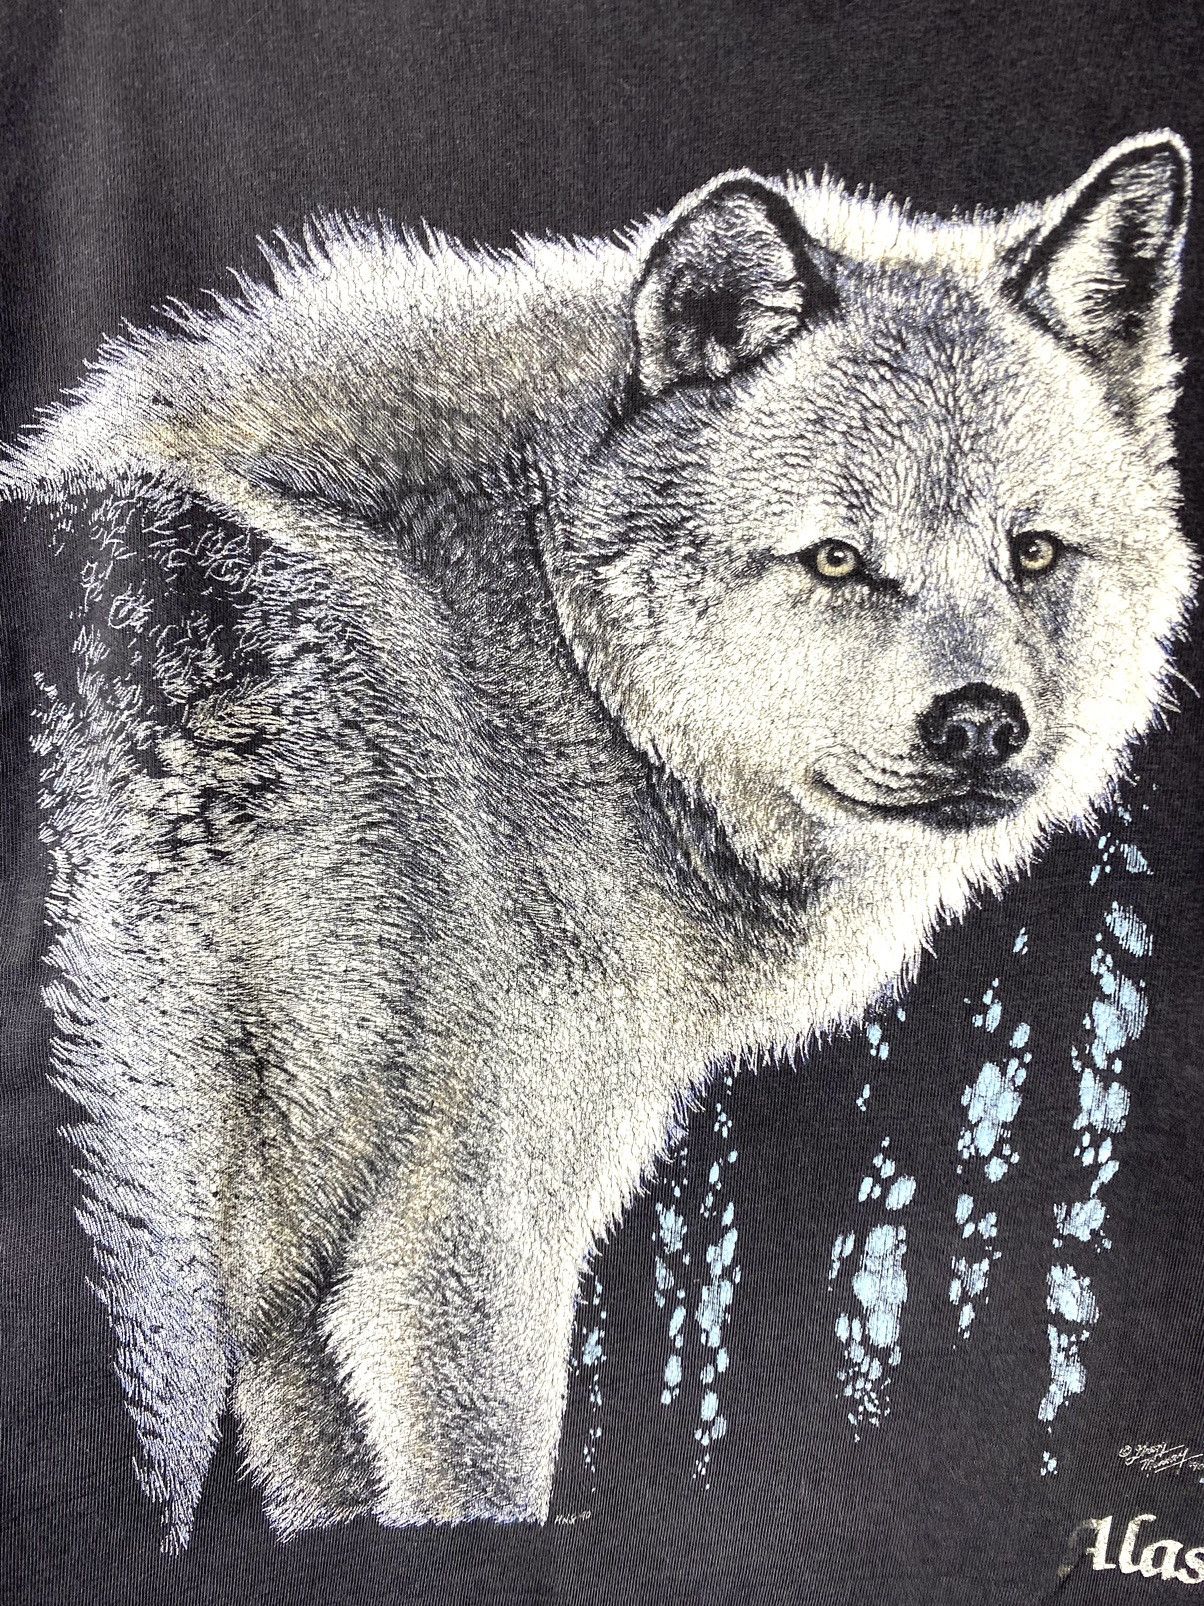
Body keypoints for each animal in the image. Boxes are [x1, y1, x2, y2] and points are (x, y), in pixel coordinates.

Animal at [0, 131, 1193, 1545]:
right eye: (837, 561)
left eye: (1034, 552)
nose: (977, 725)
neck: (550, 644)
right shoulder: (462, 1241)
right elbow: (481, 1486)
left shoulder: (299, 1314)